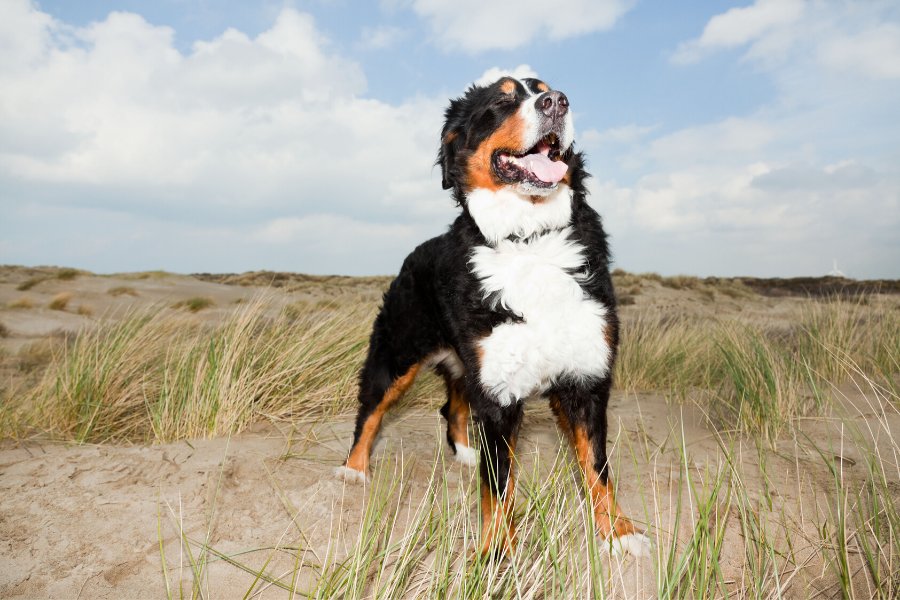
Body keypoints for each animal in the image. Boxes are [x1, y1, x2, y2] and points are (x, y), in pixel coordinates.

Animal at [336, 75, 648, 556]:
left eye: (545, 87)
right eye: (502, 100)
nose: (556, 102)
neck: (530, 239)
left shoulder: (586, 377)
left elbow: (597, 466)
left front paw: (617, 532)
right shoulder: (499, 393)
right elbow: (499, 483)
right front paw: (498, 551)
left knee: (453, 405)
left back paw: (464, 452)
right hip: (397, 354)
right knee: (370, 411)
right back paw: (354, 469)